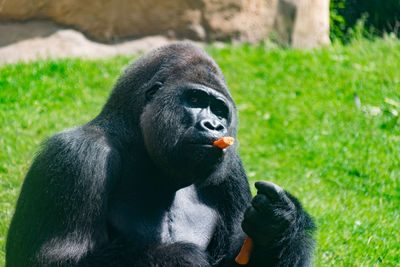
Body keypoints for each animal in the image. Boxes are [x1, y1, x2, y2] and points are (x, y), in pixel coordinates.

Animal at [4, 43, 314, 266]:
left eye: (219, 110)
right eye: (196, 100)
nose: (215, 126)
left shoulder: (231, 169)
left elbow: (237, 255)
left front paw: (277, 224)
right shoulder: (76, 158)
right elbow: (49, 260)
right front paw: (176, 258)